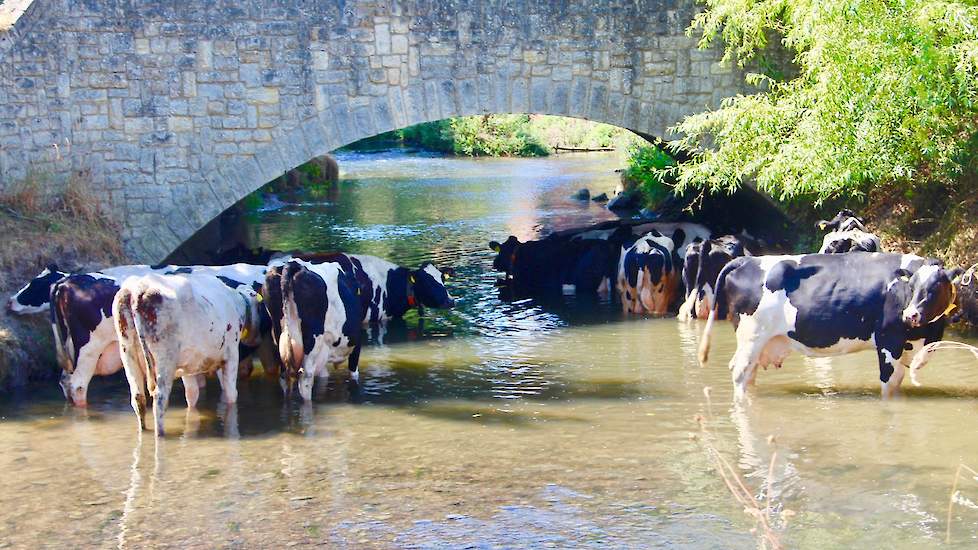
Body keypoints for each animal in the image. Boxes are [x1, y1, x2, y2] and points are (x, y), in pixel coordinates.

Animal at [268, 258, 364, 402]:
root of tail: (294, 264)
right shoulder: (356, 347)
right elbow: (354, 374)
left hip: (278, 337)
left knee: (284, 377)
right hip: (313, 342)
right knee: (305, 379)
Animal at [692, 254, 960, 402]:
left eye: (936, 287)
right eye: (911, 286)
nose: (910, 315)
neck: (925, 337)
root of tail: (746, 260)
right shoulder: (888, 341)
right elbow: (889, 385)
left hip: (761, 343)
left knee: (749, 374)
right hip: (752, 336)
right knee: (739, 372)